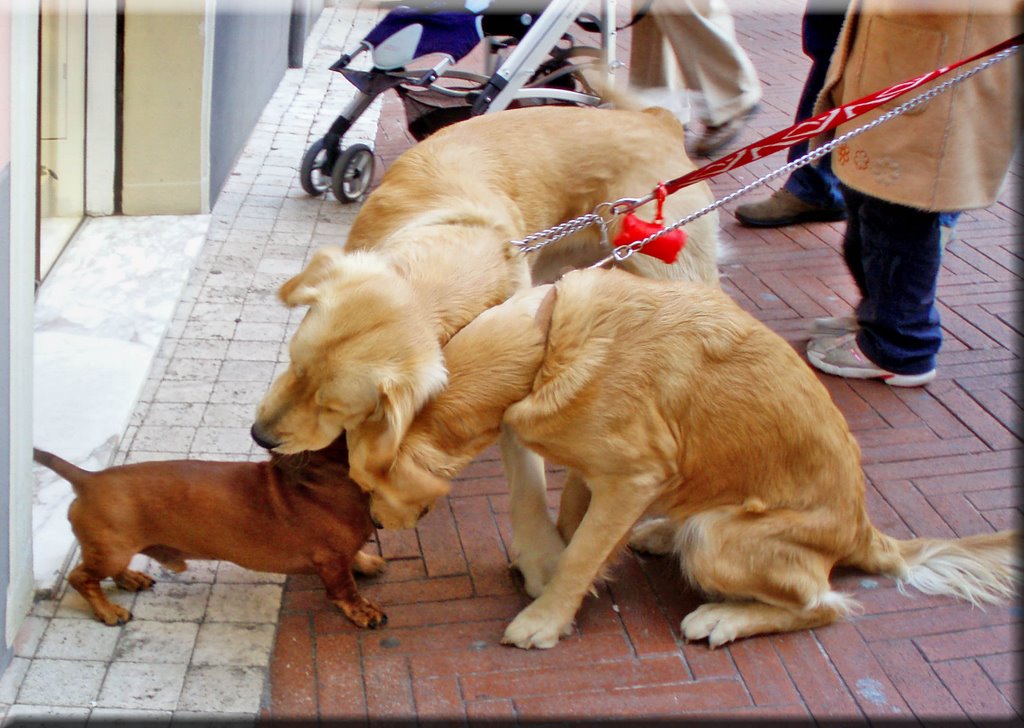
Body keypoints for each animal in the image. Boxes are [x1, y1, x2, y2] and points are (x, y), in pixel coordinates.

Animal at [249, 103, 720, 593]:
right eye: (291, 364)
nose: (259, 436)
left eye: (334, 406)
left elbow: (528, 485)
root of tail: (654, 118)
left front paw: (544, 562)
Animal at [358, 268, 1015, 651]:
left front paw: (547, 617)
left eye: (367, 483)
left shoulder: (633, 477)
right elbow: (574, 531)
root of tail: (863, 531)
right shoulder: (597, 474)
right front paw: (556, 569)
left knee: (823, 604)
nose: (376, 526)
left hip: (719, 539)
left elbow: (582, 555)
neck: (546, 345)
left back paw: (723, 617)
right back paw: (656, 535)